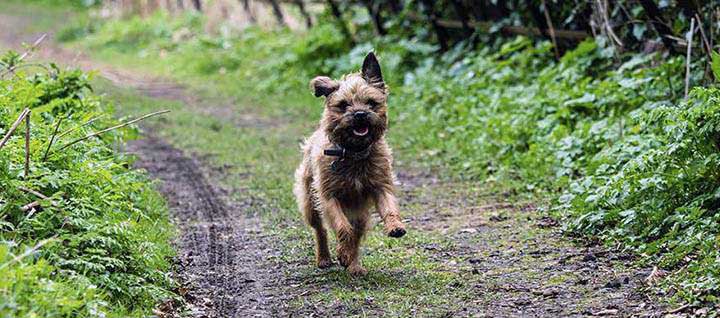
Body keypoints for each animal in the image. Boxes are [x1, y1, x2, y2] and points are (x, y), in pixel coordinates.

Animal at [292, 52, 404, 276]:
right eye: (344, 105)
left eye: (371, 103)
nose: (360, 114)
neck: (354, 153)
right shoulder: (329, 197)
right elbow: (342, 227)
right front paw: (342, 253)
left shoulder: (380, 186)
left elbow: (389, 207)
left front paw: (395, 226)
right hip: (310, 202)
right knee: (321, 229)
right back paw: (324, 258)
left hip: (360, 214)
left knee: (357, 235)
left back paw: (354, 265)